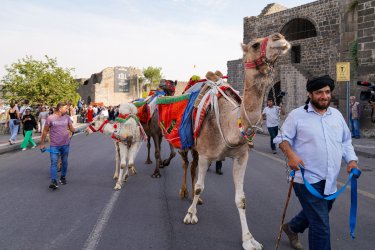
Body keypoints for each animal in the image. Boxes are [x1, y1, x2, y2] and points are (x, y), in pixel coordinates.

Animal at [182, 33, 290, 250]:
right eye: (255, 44)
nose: (280, 38)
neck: (230, 124)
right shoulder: (206, 154)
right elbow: (199, 186)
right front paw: (190, 215)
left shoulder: (241, 156)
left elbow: (241, 199)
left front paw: (249, 240)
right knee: (185, 165)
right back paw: (184, 194)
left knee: (193, 168)